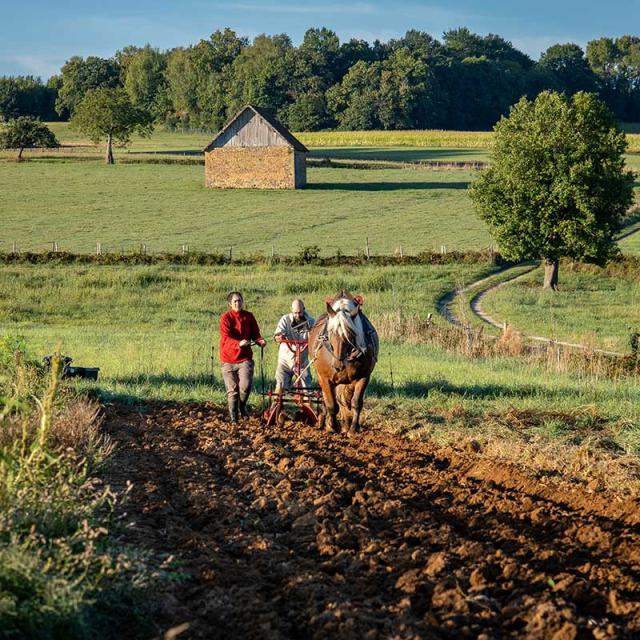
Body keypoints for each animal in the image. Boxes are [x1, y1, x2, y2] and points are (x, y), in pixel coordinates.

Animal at [308, 292, 378, 436]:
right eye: (331, 332)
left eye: (351, 334)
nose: (337, 365)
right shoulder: (325, 378)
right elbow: (331, 404)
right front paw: (332, 426)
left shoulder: (363, 377)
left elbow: (356, 403)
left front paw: (353, 428)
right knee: (329, 400)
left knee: (344, 401)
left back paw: (346, 424)